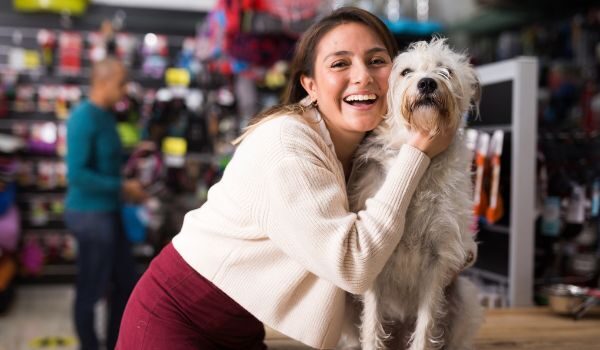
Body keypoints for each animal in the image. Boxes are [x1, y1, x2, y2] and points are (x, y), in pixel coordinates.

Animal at [340, 38, 486, 350]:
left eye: (446, 70)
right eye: (406, 71)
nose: (427, 83)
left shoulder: (439, 258)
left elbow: (427, 323)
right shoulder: (374, 260)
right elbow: (372, 324)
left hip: (464, 298)